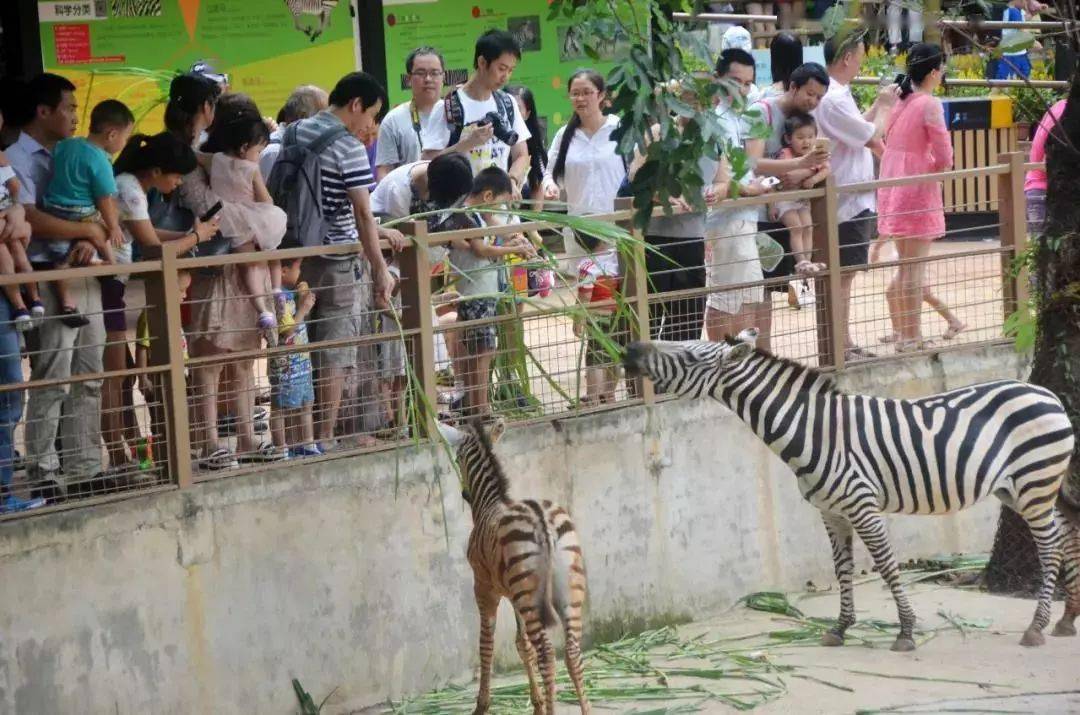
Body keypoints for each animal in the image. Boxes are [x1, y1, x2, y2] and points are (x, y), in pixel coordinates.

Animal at [438, 421, 591, 715]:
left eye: (458, 459)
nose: (465, 494)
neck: (491, 502)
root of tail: (542, 519)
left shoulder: (484, 588)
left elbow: (486, 646)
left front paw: (482, 705)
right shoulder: (513, 595)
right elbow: (522, 645)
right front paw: (537, 704)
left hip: (529, 594)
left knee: (547, 654)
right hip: (566, 588)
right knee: (571, 652)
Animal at [626, 332, 1080, 652]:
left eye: (688, 355)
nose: (630, 347)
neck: (813, 432)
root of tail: (1048, 394)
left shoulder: (863, 505)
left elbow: (886, 565)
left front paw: (906, 630)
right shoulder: (831, 512)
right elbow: (841, 568)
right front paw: (841, 628)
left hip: (1033, 485)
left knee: (1050, 547)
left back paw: (1037, 627)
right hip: (1024, 488)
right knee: (1068, 535)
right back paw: (1065, 619)